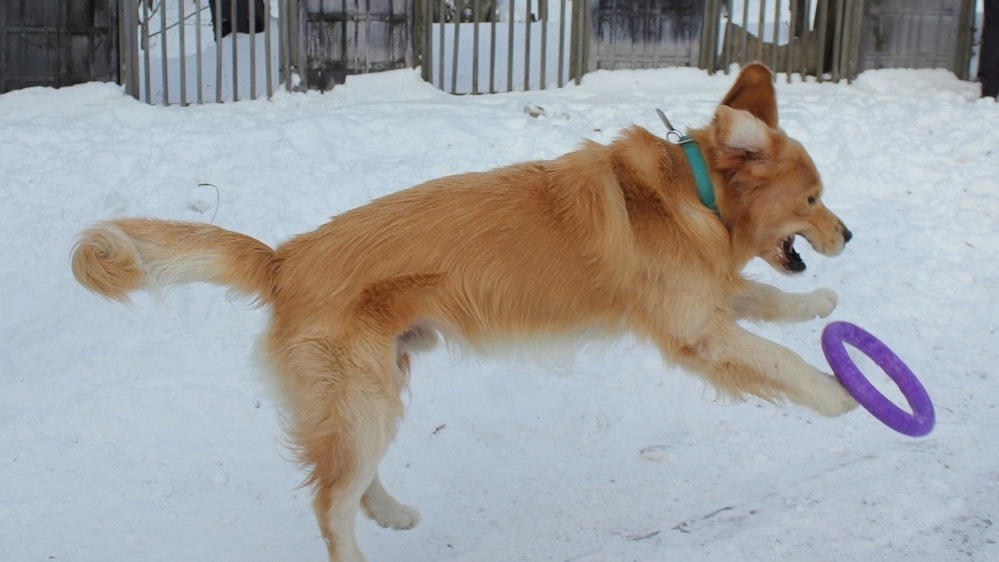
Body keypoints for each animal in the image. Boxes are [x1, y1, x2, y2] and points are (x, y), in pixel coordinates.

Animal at [72, 63, 852, 560]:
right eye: (813, 199)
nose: (848, 235)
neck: (691, 194)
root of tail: (283, 259)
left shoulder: (706, 298)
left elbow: (766, 300)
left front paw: (817, 302)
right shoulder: (696, 330)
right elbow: (779, 361)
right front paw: (840, 394)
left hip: (377, 388)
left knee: (347, 483)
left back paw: (390, 510)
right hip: (362, 397)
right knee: (329, 504)